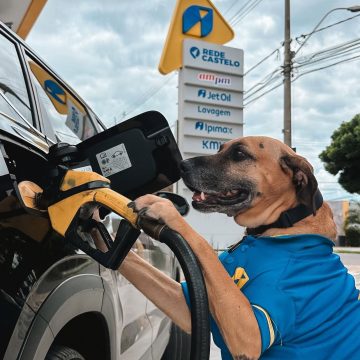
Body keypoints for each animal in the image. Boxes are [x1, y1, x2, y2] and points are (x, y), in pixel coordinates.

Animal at [119, 136, 360, 358]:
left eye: (239, 154)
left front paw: (165, 208)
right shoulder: (192, 304)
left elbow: (203, 245)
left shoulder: (252, 330)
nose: (182, 165)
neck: (283, 222)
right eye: (220, 148)